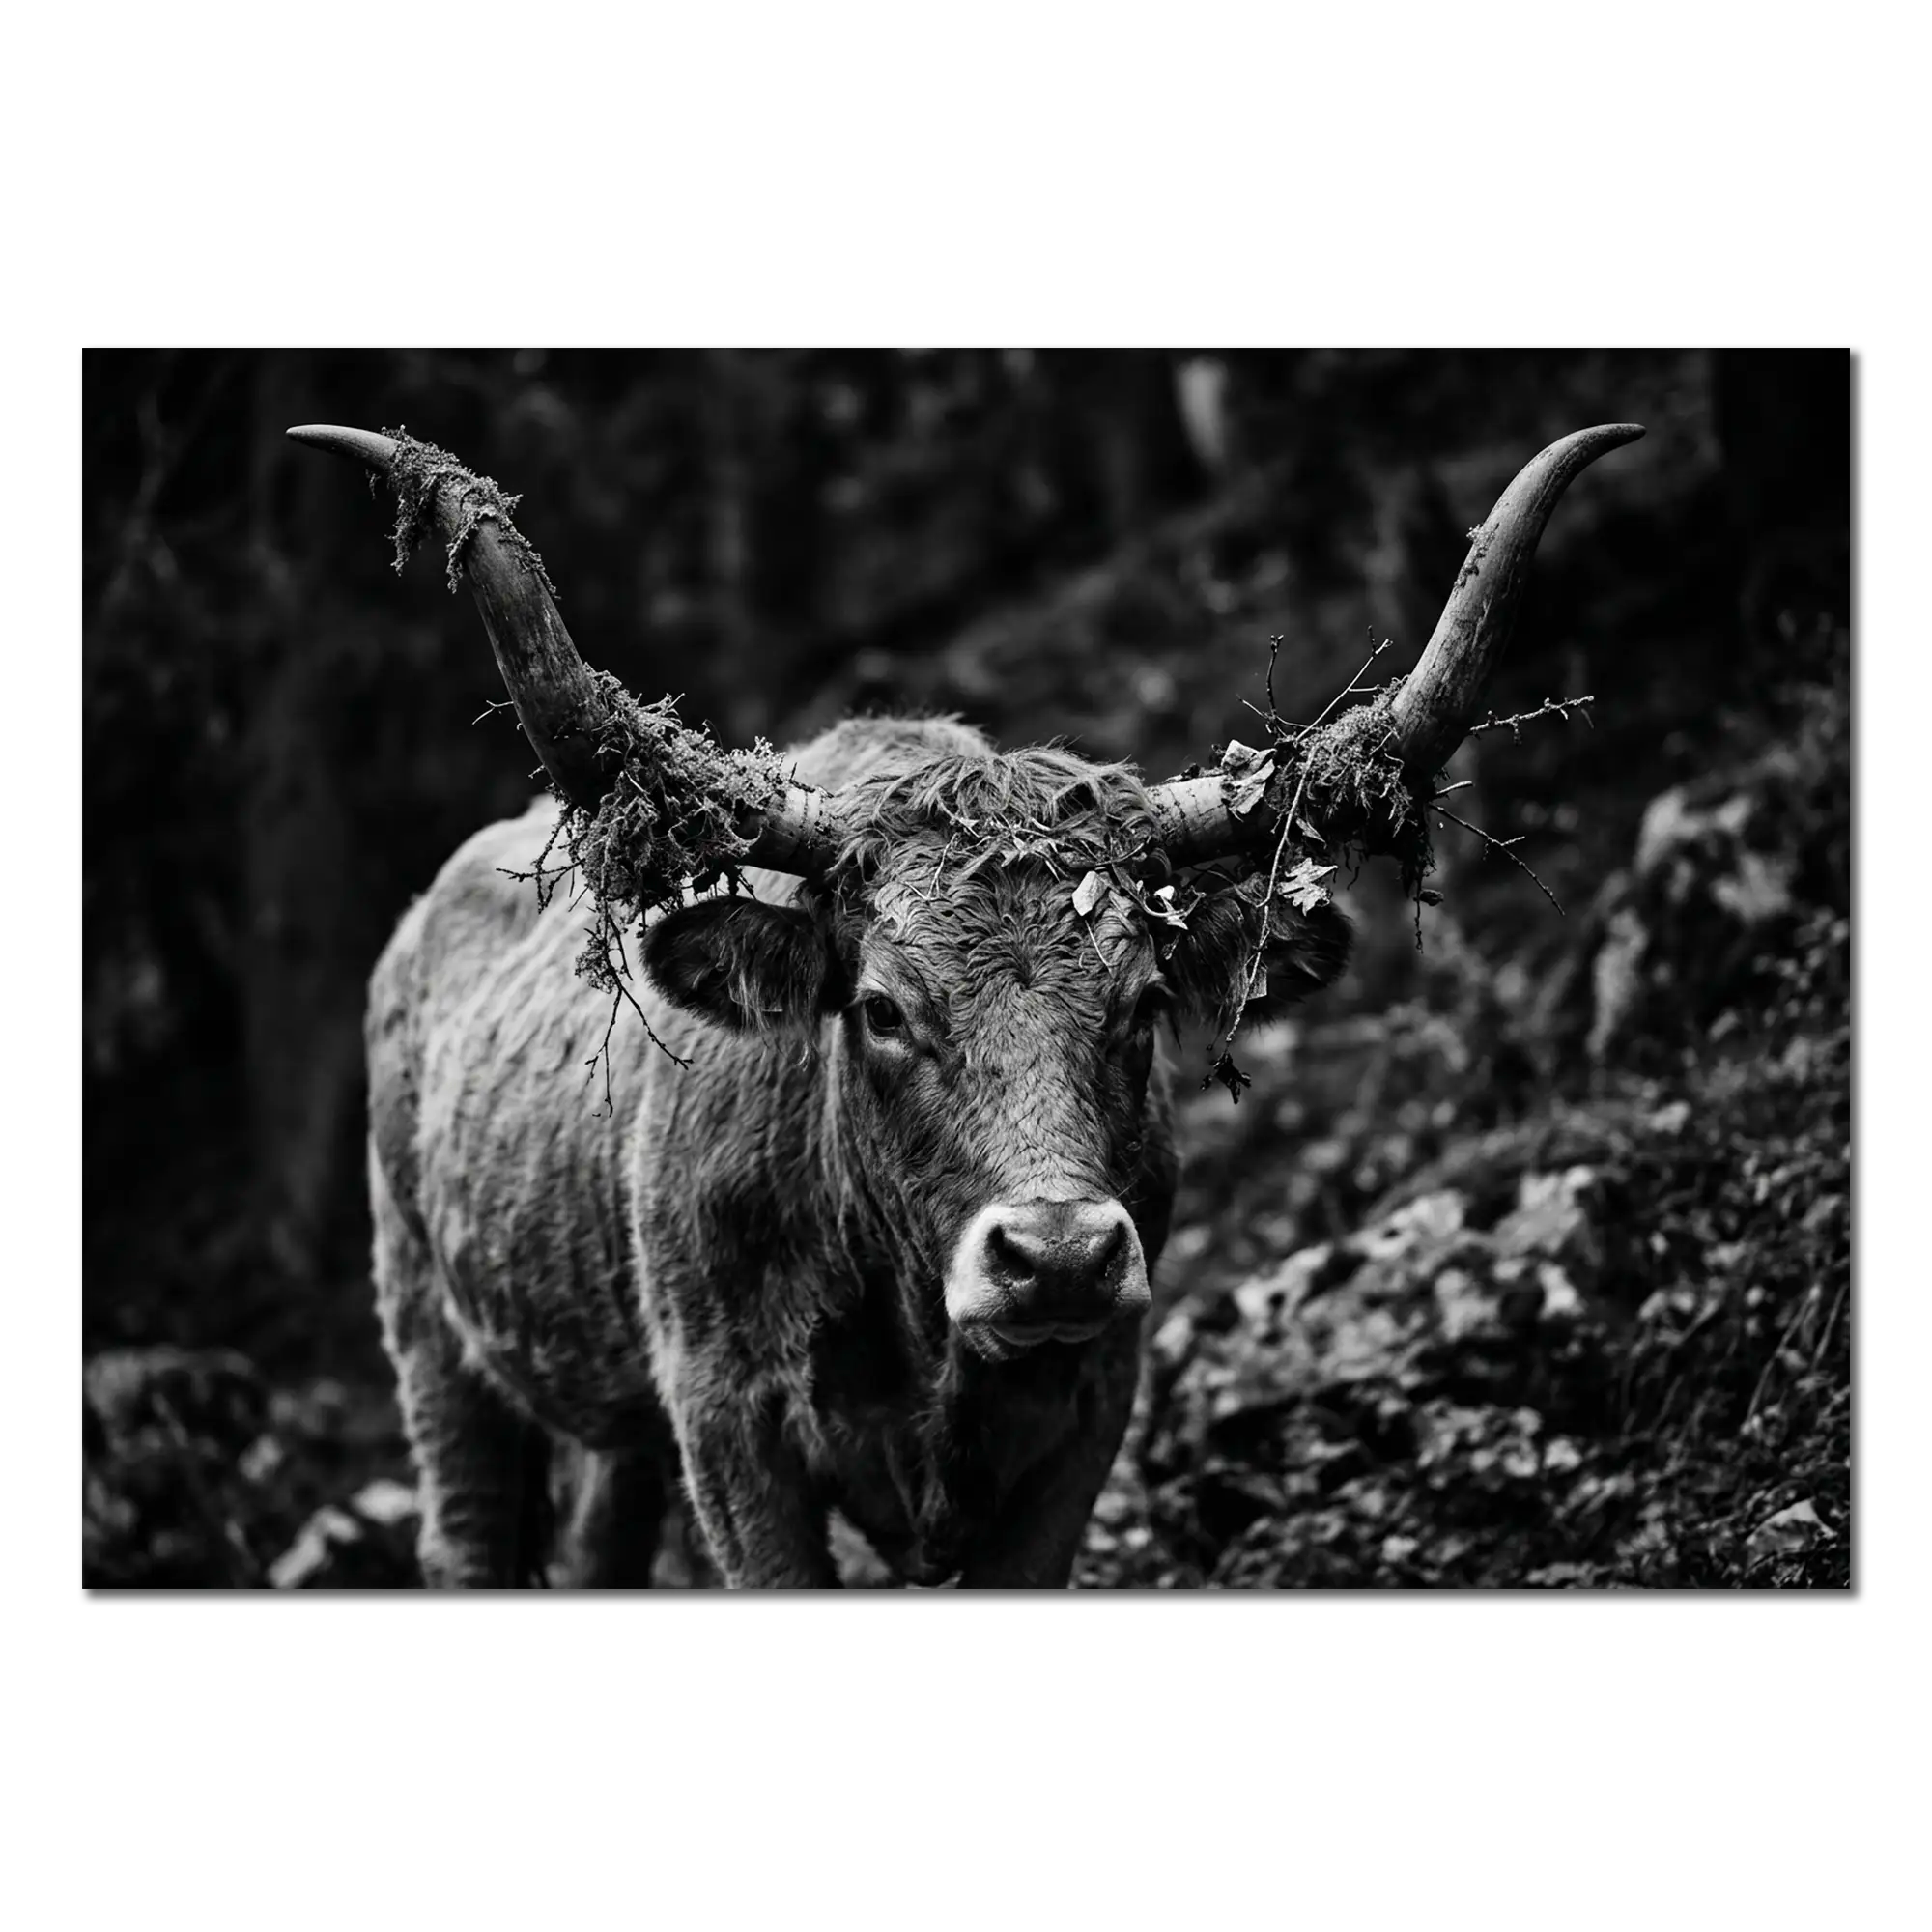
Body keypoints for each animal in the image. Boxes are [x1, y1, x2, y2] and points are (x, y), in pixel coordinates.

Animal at [291, 417, 1641, 1590]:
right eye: (881, 1009)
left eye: (1144, 1003)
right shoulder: (731, 1426)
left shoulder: (1086, 1412)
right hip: (436, 1346)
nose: (1057, 1256)